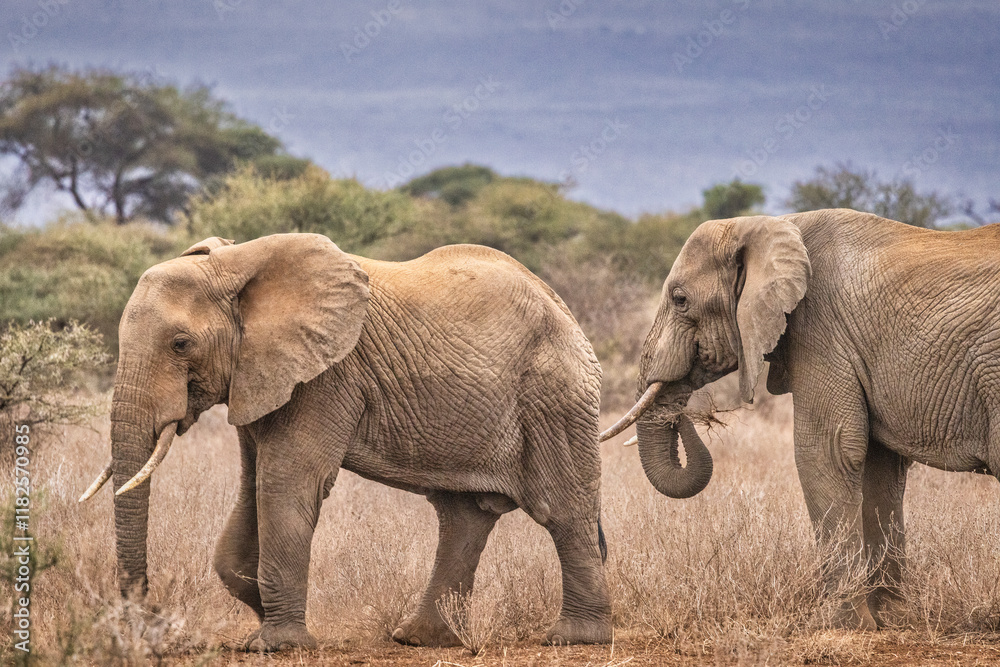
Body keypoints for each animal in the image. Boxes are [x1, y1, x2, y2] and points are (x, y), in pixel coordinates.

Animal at [79, 233, 613, 651]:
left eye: (181, 344)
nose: (149, 621)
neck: (237, 264)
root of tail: (565, 310)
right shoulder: (261, 375)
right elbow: (253, 487)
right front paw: (258, 615)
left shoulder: (328, 376)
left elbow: (285, 484)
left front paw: (278, 643)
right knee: (463, 516)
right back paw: (421, 639)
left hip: (554, 399)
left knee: (563, 509)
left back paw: (574, 638)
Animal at [601, 208, 1000, 629]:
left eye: (680, 300)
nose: (687, 411)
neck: (778, 223)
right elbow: (879, 466)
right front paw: (888, 619)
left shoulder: (821, 330)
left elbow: (828, 452)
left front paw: (841, 624)